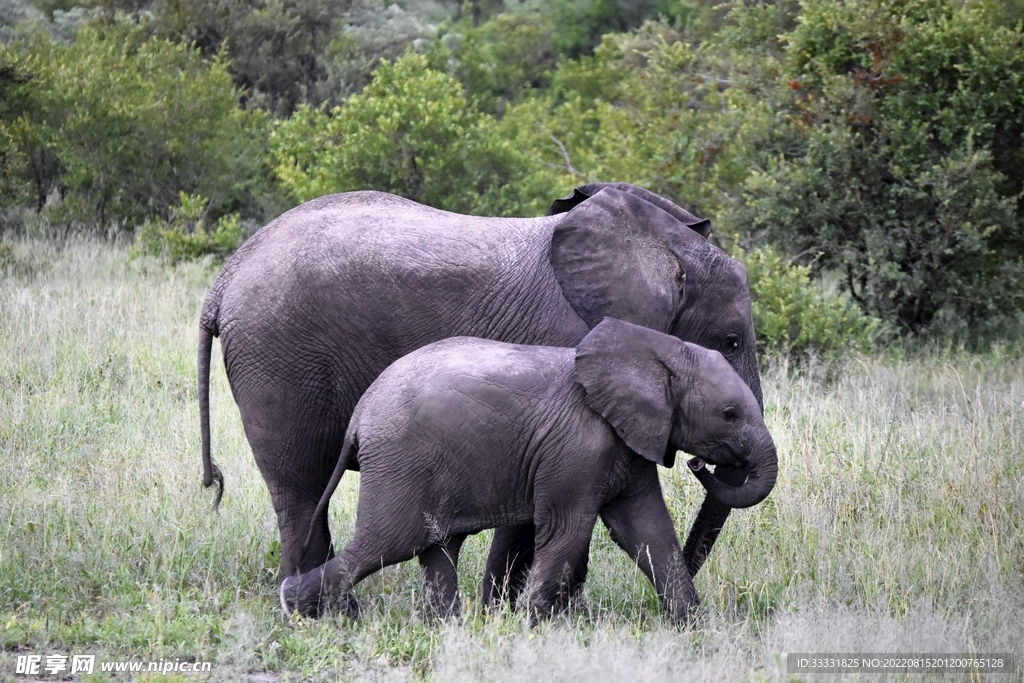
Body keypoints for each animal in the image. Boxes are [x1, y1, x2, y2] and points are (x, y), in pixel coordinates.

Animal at [198, 182, 761, 601]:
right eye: (731, 340)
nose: (701, 463)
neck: (660, 248)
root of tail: (225, 277)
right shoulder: (566, 337)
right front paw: (518, 613)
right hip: (279, 358)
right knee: (300, 490)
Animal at [278, 318, 778, 624]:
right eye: (730, 414)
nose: (699, 463)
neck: (658, 350)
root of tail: (360, 415)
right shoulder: (578, 447)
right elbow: (567, 533)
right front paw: (533, 627)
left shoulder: (626, 443)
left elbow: (647, 531)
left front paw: (694, 628)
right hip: (400, 461)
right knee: (387, 544)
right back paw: (293, 605)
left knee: (437, 546)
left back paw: (447, 629)